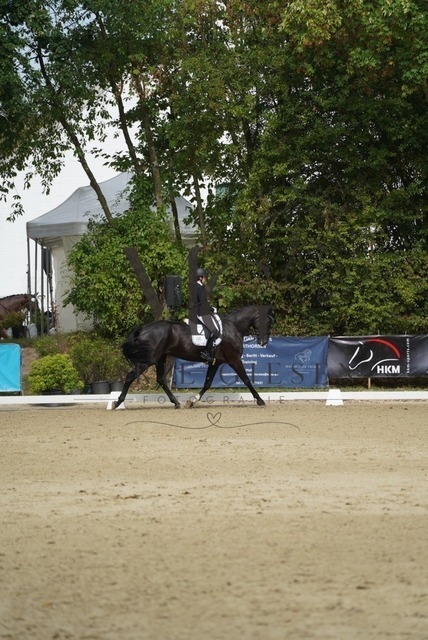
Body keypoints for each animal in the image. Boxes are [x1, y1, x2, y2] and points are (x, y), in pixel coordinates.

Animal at [113, 304, 273, 410]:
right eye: (267, 321)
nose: (264, 342)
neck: (233, 327)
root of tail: (143, 328)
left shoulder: (216, 362)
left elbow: (207, 383)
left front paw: (192, 401)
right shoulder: (234, 359)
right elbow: (246, 379)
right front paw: (260, 400)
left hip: (160, 358)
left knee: (161, 379)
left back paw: (176, 403)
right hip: (148, 360)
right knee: (130, 376)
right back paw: (118, 402)